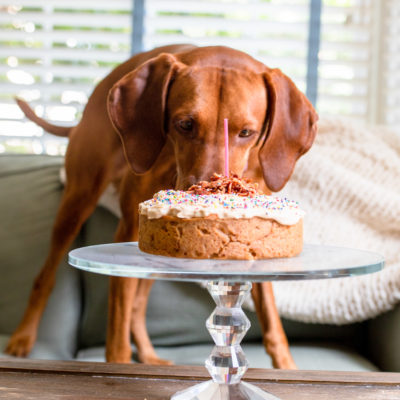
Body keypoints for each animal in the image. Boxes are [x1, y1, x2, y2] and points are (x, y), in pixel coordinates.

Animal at [5, 44, 318, 368]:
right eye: (185, 124)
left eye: (246, 133)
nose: (209, 189)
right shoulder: (128, 231)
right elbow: (117, 325)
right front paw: (118, 364)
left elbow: (271, 321)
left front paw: (286, 367)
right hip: (77, 202)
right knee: (47, 277)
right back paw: (23, 337)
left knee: (138, 306)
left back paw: (148, 355)